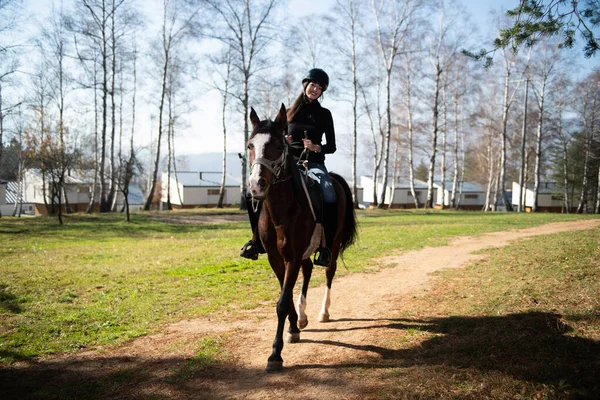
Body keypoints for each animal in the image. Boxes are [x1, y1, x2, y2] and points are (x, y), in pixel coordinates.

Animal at [247, 104, 358, 372]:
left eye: (278, 145)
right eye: (250, 145)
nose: (256, 185)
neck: (282, 210)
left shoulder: (292, 257)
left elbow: (281, 302)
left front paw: (275, 354)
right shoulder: (277, 259)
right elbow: (285, 298)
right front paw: (293, 328)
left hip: (332, 245)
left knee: (329, 271)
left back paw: (323, 313)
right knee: (308, 271)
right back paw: (303, 317)